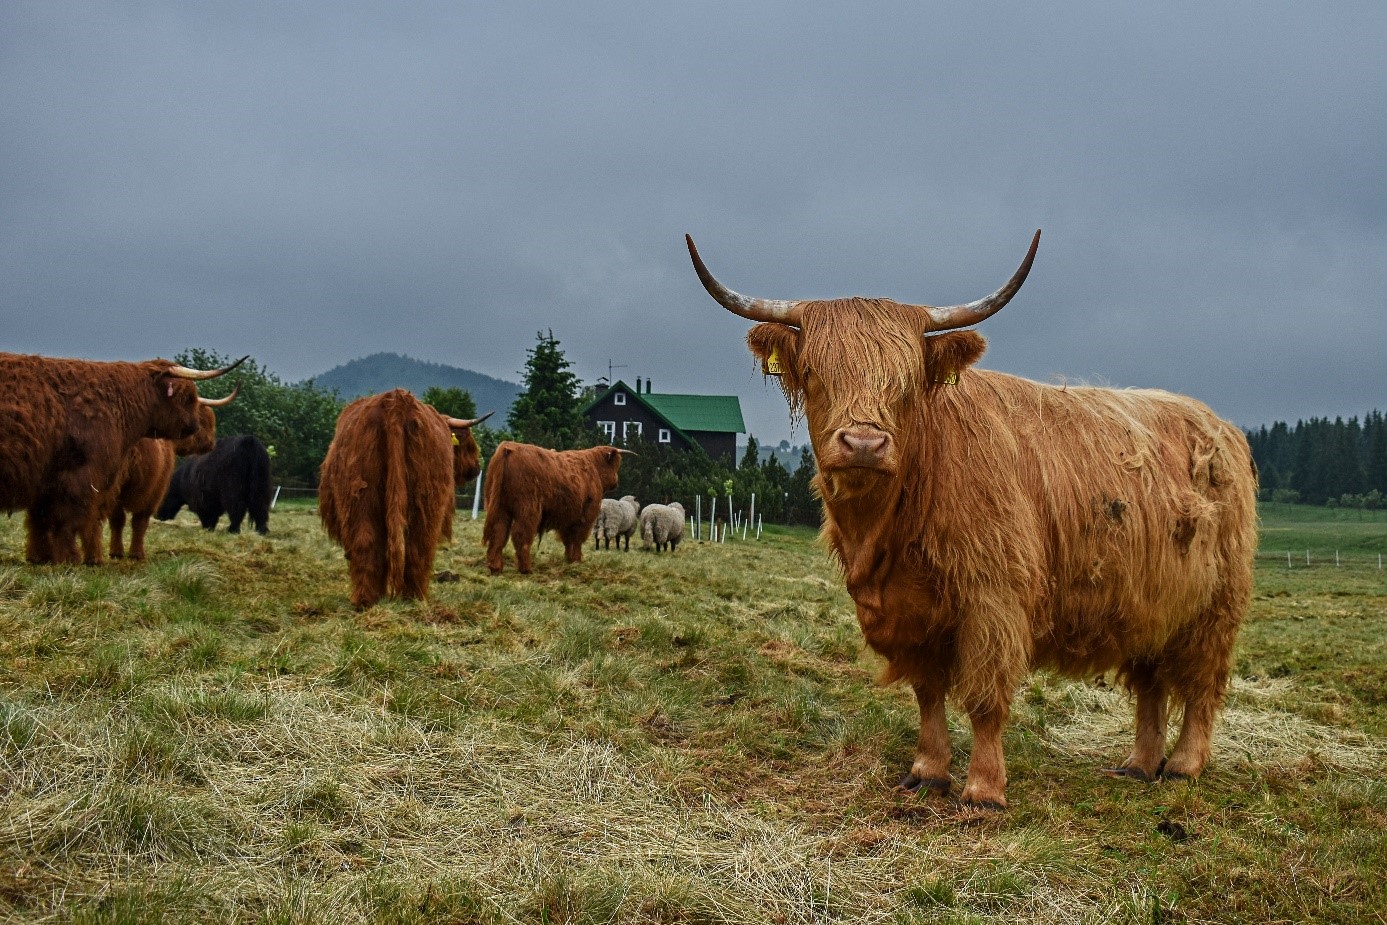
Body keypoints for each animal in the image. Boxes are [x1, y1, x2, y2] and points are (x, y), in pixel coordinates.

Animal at [317, 388, 490, 610]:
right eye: (468, 442)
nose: (476, 467)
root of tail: (397, 400)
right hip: (422, 501)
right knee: (414, 547)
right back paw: (410, 598)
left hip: (364, 500)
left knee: (372, 544)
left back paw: (369, 600)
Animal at [479, 443, 626, 574]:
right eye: (615, 465)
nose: (617, 481)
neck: (594, 467)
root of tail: (508, 448)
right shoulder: (584, 516)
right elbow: (576, 539)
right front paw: (576, 561)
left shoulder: (568, 519)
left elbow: (568, 540)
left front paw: (569, 560)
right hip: (528, 509)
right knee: (520, 535)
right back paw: (525, 568)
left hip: (500, 509)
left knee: (498, 533)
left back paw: (495, 567)